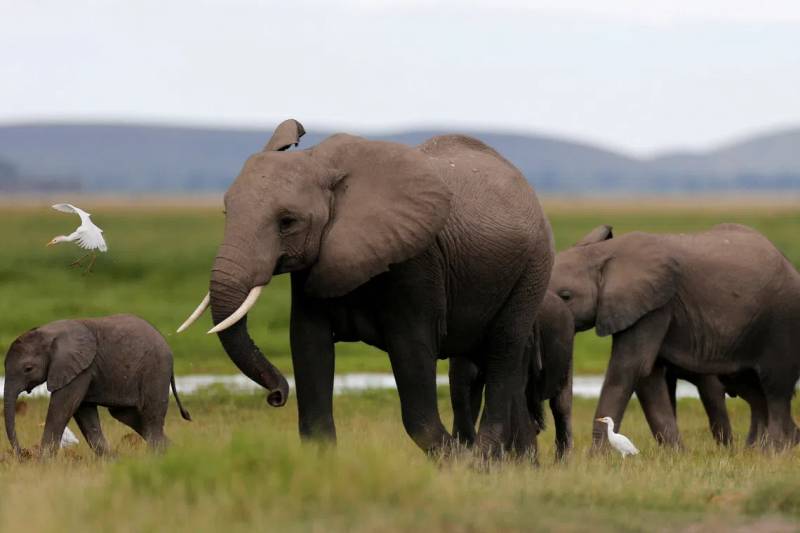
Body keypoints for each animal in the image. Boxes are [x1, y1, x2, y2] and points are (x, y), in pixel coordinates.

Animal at [4, 314, 191, 456]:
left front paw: (43, 464)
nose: (23, 454)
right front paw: (113, 461)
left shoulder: (79, 368)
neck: (48, 333)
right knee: (128, 415)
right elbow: (84, 413)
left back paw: (158, 457)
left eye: (28, 369)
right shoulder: (81, 369)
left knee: (151, 416)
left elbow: (61, 408)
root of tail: (167, 346)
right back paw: (175, 451)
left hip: (156, 369)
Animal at [178, 119, 554, 456]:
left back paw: (483, 459)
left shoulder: (416, 261)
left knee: (504, 351)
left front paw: (456, 461)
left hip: (532, 269)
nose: (277, 396)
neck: (321, 163)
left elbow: (412, 352)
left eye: (287, 222)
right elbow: (308, 344)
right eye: (226, 213)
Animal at [549, 224, 800, 449]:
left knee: (775, 388)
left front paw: (598, 459)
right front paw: (676, 454)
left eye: (566, 296)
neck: (602, 253)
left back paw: (774, 451)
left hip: (782, 322)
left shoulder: (656, 306)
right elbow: (648, 376)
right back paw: (762, 449)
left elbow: (629, 369)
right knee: (755, 391)